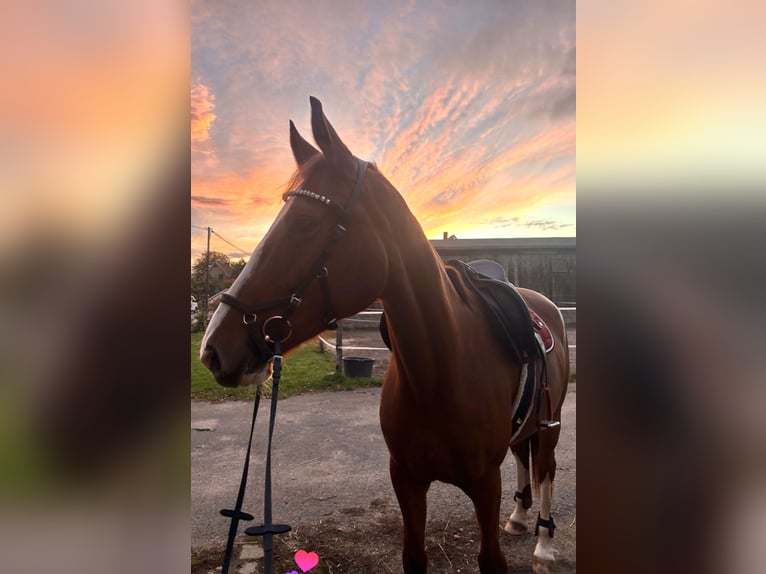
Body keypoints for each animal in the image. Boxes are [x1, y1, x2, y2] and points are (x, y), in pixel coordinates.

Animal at [200, 97, 570, 574]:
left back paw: (543, 539)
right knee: (525, 457)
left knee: (546, 467)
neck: (442, 370)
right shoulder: (406, 481)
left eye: (304, 223)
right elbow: (414, 555)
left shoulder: (485, 485)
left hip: (551, 423)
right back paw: (520, 517)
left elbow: (492, 556)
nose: (212, 348)